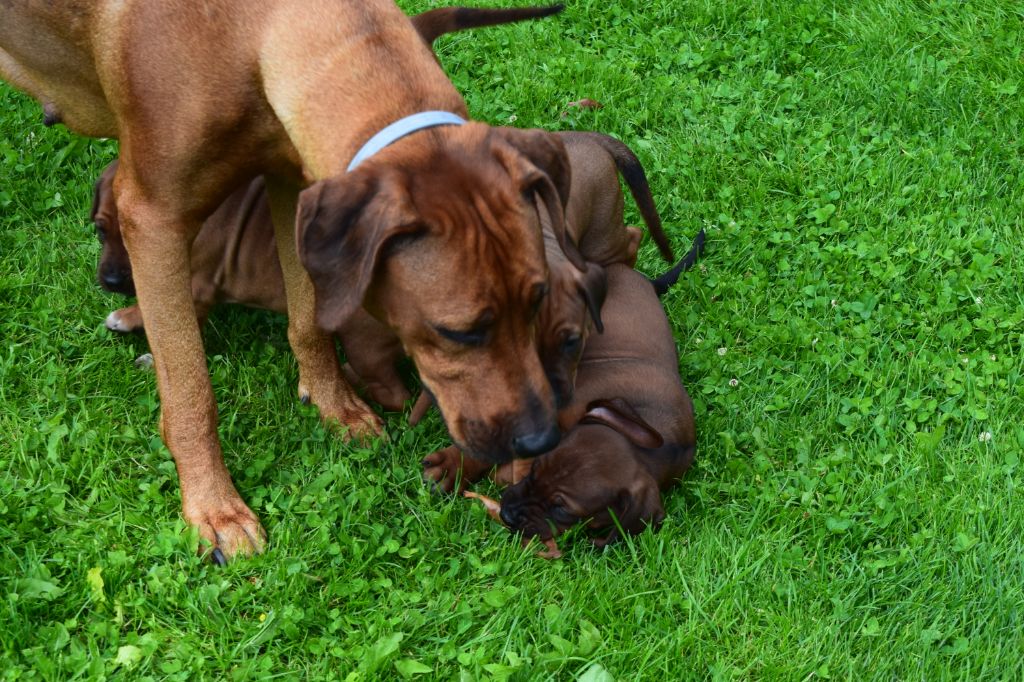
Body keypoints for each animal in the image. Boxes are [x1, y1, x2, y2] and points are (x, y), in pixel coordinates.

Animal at [0, 0, 577, 557]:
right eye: (459, 332)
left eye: (536, 302)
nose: (540, 440)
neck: (253, 31)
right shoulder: (154, 218)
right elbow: (190, 390)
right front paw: (214, 507)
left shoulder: (294, 183)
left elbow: (309, 319)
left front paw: (333, 404)